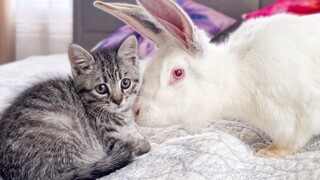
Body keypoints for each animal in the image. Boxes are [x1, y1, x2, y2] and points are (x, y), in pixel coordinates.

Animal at [0, 35, 150, 180]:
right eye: (101, 88)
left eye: (125, 83)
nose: (118, 101)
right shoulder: (110, 141)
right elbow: (137, 144)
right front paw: (142, 145)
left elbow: (137, 133)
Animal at [95, 0, 320, 158]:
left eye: (177, 73)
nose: (136, 112)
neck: (235, 73)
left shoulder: (292, 118)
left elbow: (290, 143)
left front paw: (267, 153)